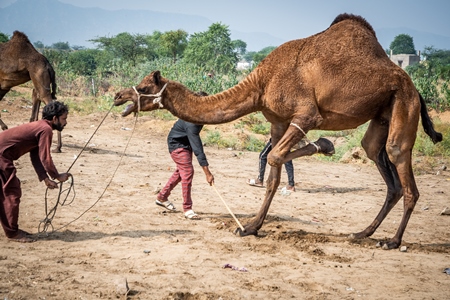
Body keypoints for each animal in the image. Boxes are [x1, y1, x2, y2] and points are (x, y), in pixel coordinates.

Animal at [112, 12, 442, 250]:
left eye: (144, 87)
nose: (118, 96)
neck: (261, 82)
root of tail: (416, 87)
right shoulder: (278, 121)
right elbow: (272, 173)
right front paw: (251, 227)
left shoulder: (306, 114)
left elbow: (275, 157)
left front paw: (324, 144)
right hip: (383, 112)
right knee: (376, 154)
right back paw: (362, 233)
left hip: (404, 102)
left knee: (400, 161)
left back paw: (393, 241)